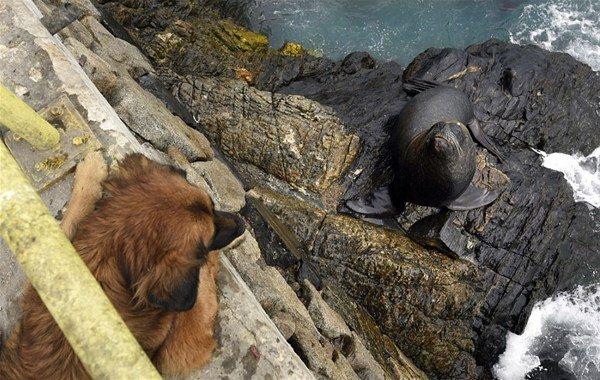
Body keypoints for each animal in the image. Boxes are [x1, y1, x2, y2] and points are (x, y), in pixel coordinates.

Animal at [0, 152, 245, 380]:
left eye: (213, 206)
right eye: (211, 235)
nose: (242, 224)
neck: (107, 261)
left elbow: (68, 222)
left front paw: (90, 172)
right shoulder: (181, 351)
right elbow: (203, 288)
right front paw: (221, 253)